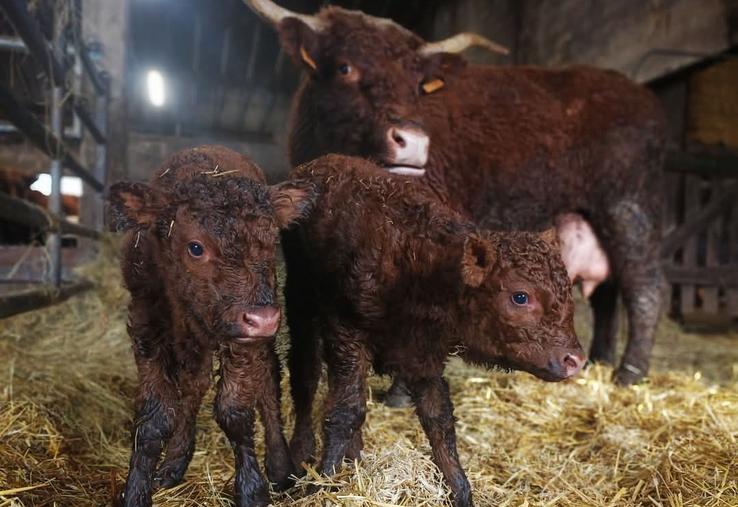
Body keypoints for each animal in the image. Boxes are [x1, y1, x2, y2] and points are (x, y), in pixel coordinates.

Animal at [107, 146, 316, 507]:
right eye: (195, 247)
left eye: (271, 242)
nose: (262, 319)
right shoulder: (147, 324)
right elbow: (154, 417)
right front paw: (136, 490)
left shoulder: (243, 339)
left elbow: (234, 411)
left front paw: (252, 489)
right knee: (196, 383)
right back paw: (175, 461)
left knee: (268, 383)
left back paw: (279, 466)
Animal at [242, 0, 667, 386]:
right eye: (345, 67)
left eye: (418, 84)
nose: (412, 141)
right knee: (609, 293)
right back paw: (600, 360)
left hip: (628, 209)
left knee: (644, 287)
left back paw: (629, 373)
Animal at [282, 154, 586, 507]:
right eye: (520, 296)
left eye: (567, 290)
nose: (575, 360)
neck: (421, 270)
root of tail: (318, 165)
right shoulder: (347, 334)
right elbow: (346, 411)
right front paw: (322, 483)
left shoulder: (423, 356)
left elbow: (439, 420)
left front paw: (461, 492)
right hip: (300, 303)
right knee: (305, 375)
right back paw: (302, 453)